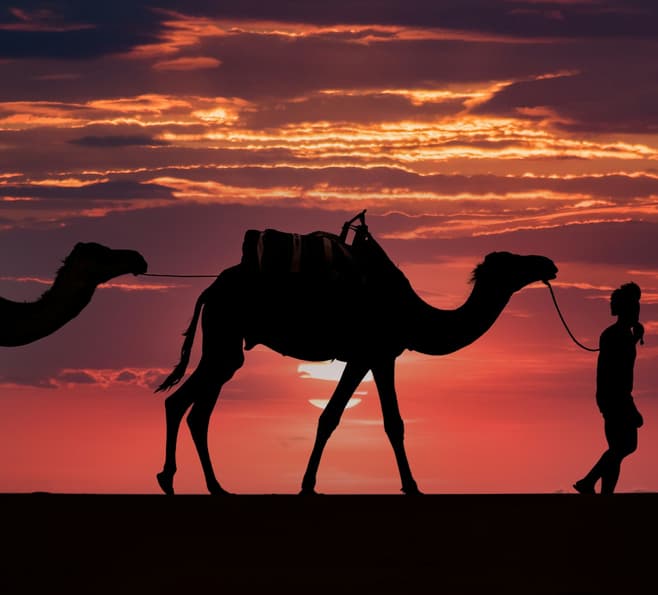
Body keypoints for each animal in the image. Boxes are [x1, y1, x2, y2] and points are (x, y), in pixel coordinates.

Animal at [155, 221, 557, 496]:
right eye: (513, 262)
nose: (548, 263)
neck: (413, 314)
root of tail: (211, 288)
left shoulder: (375, 356)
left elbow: (371, 420)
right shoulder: (372, 353)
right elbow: (356, 420)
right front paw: (409, 486)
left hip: (225, 341)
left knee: (196, 408)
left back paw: (211, 486)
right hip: (225, 330)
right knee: (186, 402)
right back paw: (172, 480)